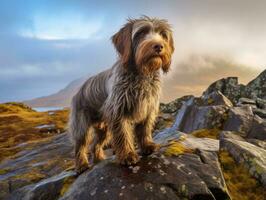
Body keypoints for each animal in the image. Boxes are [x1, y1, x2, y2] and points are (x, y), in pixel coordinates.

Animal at [68, 16, 175, 173]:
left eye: (163, 35)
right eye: (141, 33)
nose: (159, 46)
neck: (141, 74)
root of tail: (78, 91)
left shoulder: (148, 108)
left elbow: (144, 129)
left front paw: (147, 145)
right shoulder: (118, 111)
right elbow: (123, 134)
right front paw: (127, 155)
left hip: (103, 129)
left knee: (96, 144)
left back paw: (99, 159)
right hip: (81, 125)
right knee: (80, 145)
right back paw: (81, 164)